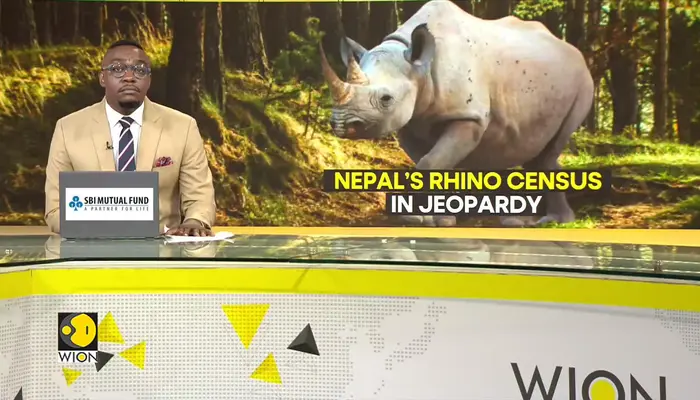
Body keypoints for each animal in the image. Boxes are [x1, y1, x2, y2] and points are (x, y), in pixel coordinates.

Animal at [319, 0, 594, 227]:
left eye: (386, 99)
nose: (341, 124)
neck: (418, 66)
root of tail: (573, 50)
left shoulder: (468, 116)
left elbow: (430, 162)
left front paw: (418, 219)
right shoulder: (411, 121)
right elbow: (433, 163)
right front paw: (439, 219)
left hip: (584, 82)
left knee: (551, 149)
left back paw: (550, 222)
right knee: (533, 149)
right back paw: (531, 221)